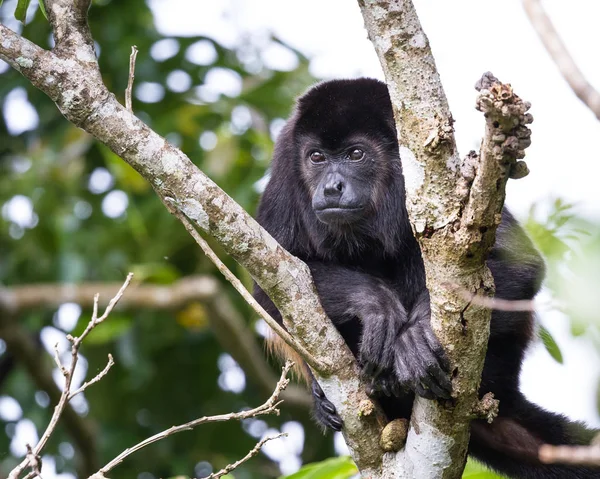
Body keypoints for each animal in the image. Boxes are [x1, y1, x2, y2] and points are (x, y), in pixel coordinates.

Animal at [254, 79, 600, 479]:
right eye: (316, 158)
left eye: (356, 154)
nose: (331, 187)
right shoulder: (284, 169)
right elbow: (269, 289)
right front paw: (376, 305)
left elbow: (523, 266)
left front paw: (417, 331)